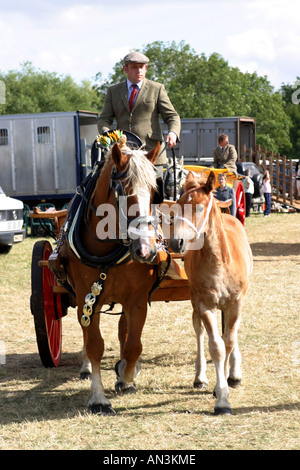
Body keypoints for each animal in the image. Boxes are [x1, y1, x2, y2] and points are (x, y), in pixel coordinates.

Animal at [59, 137, 164, 414]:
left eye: (154, 191)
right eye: (123, 191)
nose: (146, 250)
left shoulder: (137, 300)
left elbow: (133, 345)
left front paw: (126, 374)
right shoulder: (86, 299)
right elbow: (94, 344)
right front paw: (98, 397)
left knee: (123, 331)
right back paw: (86, 366)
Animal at [170, 171, 252, 414]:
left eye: (198, 207)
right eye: (178, 205)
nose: (176, 242)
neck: (220, 262)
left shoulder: (236, 302)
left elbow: (229, 340)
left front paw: (226, 380)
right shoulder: (204, 304)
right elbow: (216, 346)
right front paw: (221, 397)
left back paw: (234, 373)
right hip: (195, 300)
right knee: (199, 330)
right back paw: (200, 377)